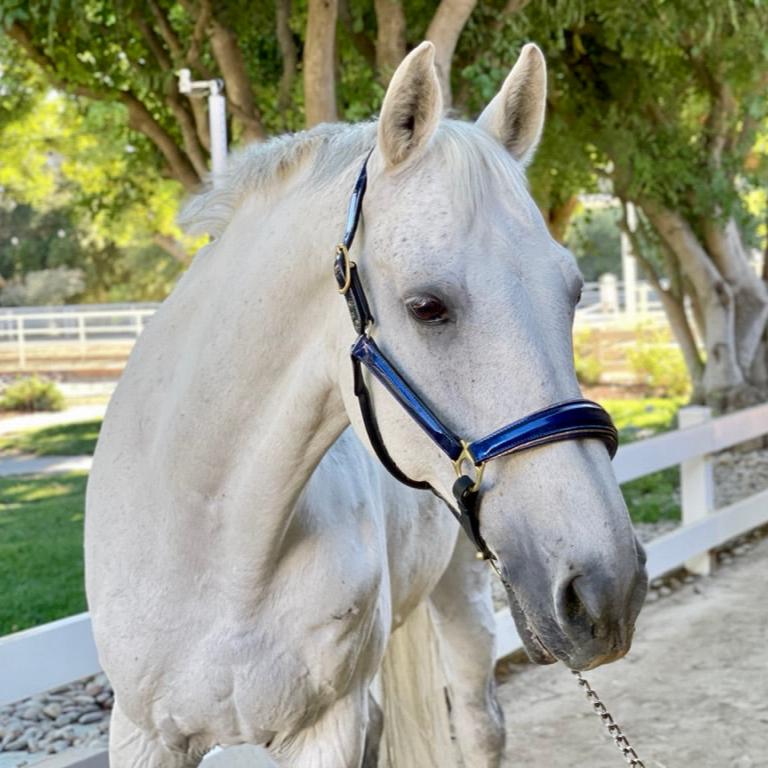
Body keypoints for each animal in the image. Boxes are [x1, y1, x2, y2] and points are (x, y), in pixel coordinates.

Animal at [84, 43, 648, 768]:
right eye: (427, 306)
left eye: (574, 292)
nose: (610, 589)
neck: (215, 547)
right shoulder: (144, 733)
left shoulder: (326, 728)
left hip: (463, 593)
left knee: (479, 722)